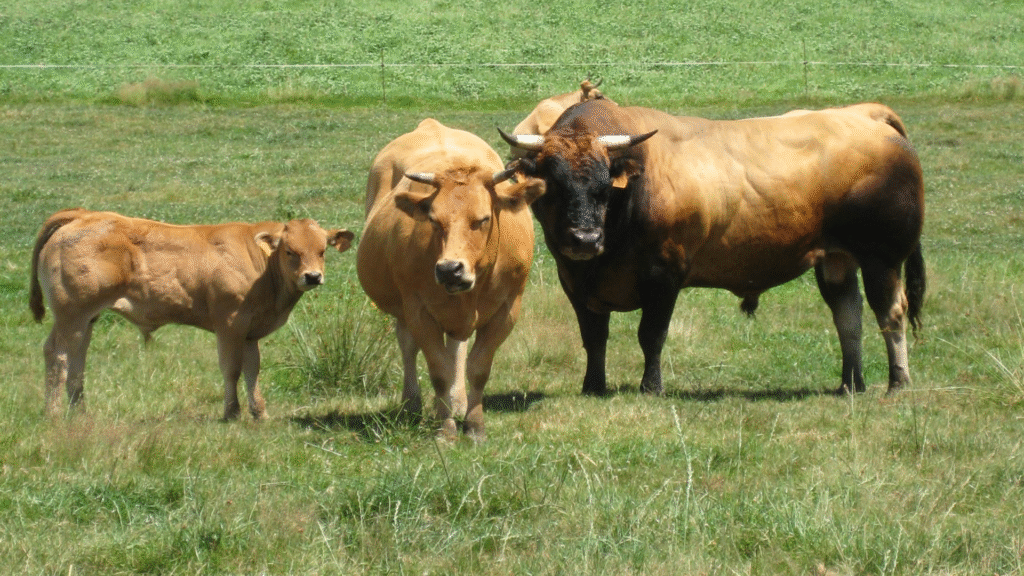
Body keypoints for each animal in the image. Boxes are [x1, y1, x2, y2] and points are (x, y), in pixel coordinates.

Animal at [29, 208, 354, 420]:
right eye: (290, 251)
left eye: (322, 250)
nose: (312, 277)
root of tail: (83, 215)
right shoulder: (230, 323)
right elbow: (232, 369)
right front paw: (232, 412)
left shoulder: (250, 330)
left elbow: (253, 370)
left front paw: (259, 413)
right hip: (71, 314)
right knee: (58, 355)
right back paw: (54, 413)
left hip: (85, 318)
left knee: (77, 358)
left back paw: (80, 411)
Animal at [357, 118, 545, 440]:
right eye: (433, 220)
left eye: (482, 219)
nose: (449, 269)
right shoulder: (418, 309)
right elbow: (439, 371)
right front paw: (446, 430)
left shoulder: (508, 309)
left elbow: (477, 368)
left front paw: (474, 425)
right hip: (404, 309)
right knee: (408, 346)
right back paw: (414, 404)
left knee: (456, 346)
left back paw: (456, 402)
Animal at [500, 98, 925, 397]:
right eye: (555, 186)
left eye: (605, 188)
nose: (585, 240)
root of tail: (864, 114)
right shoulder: (575, 280)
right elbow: (594, 338)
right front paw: (593, 386)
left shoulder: (664, 274)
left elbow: (651, 334)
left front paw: (651, 387)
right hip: (836, 259)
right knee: (848, 316)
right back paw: (851, 383)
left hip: (881, 258)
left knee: (891, 313)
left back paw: (898, 382)